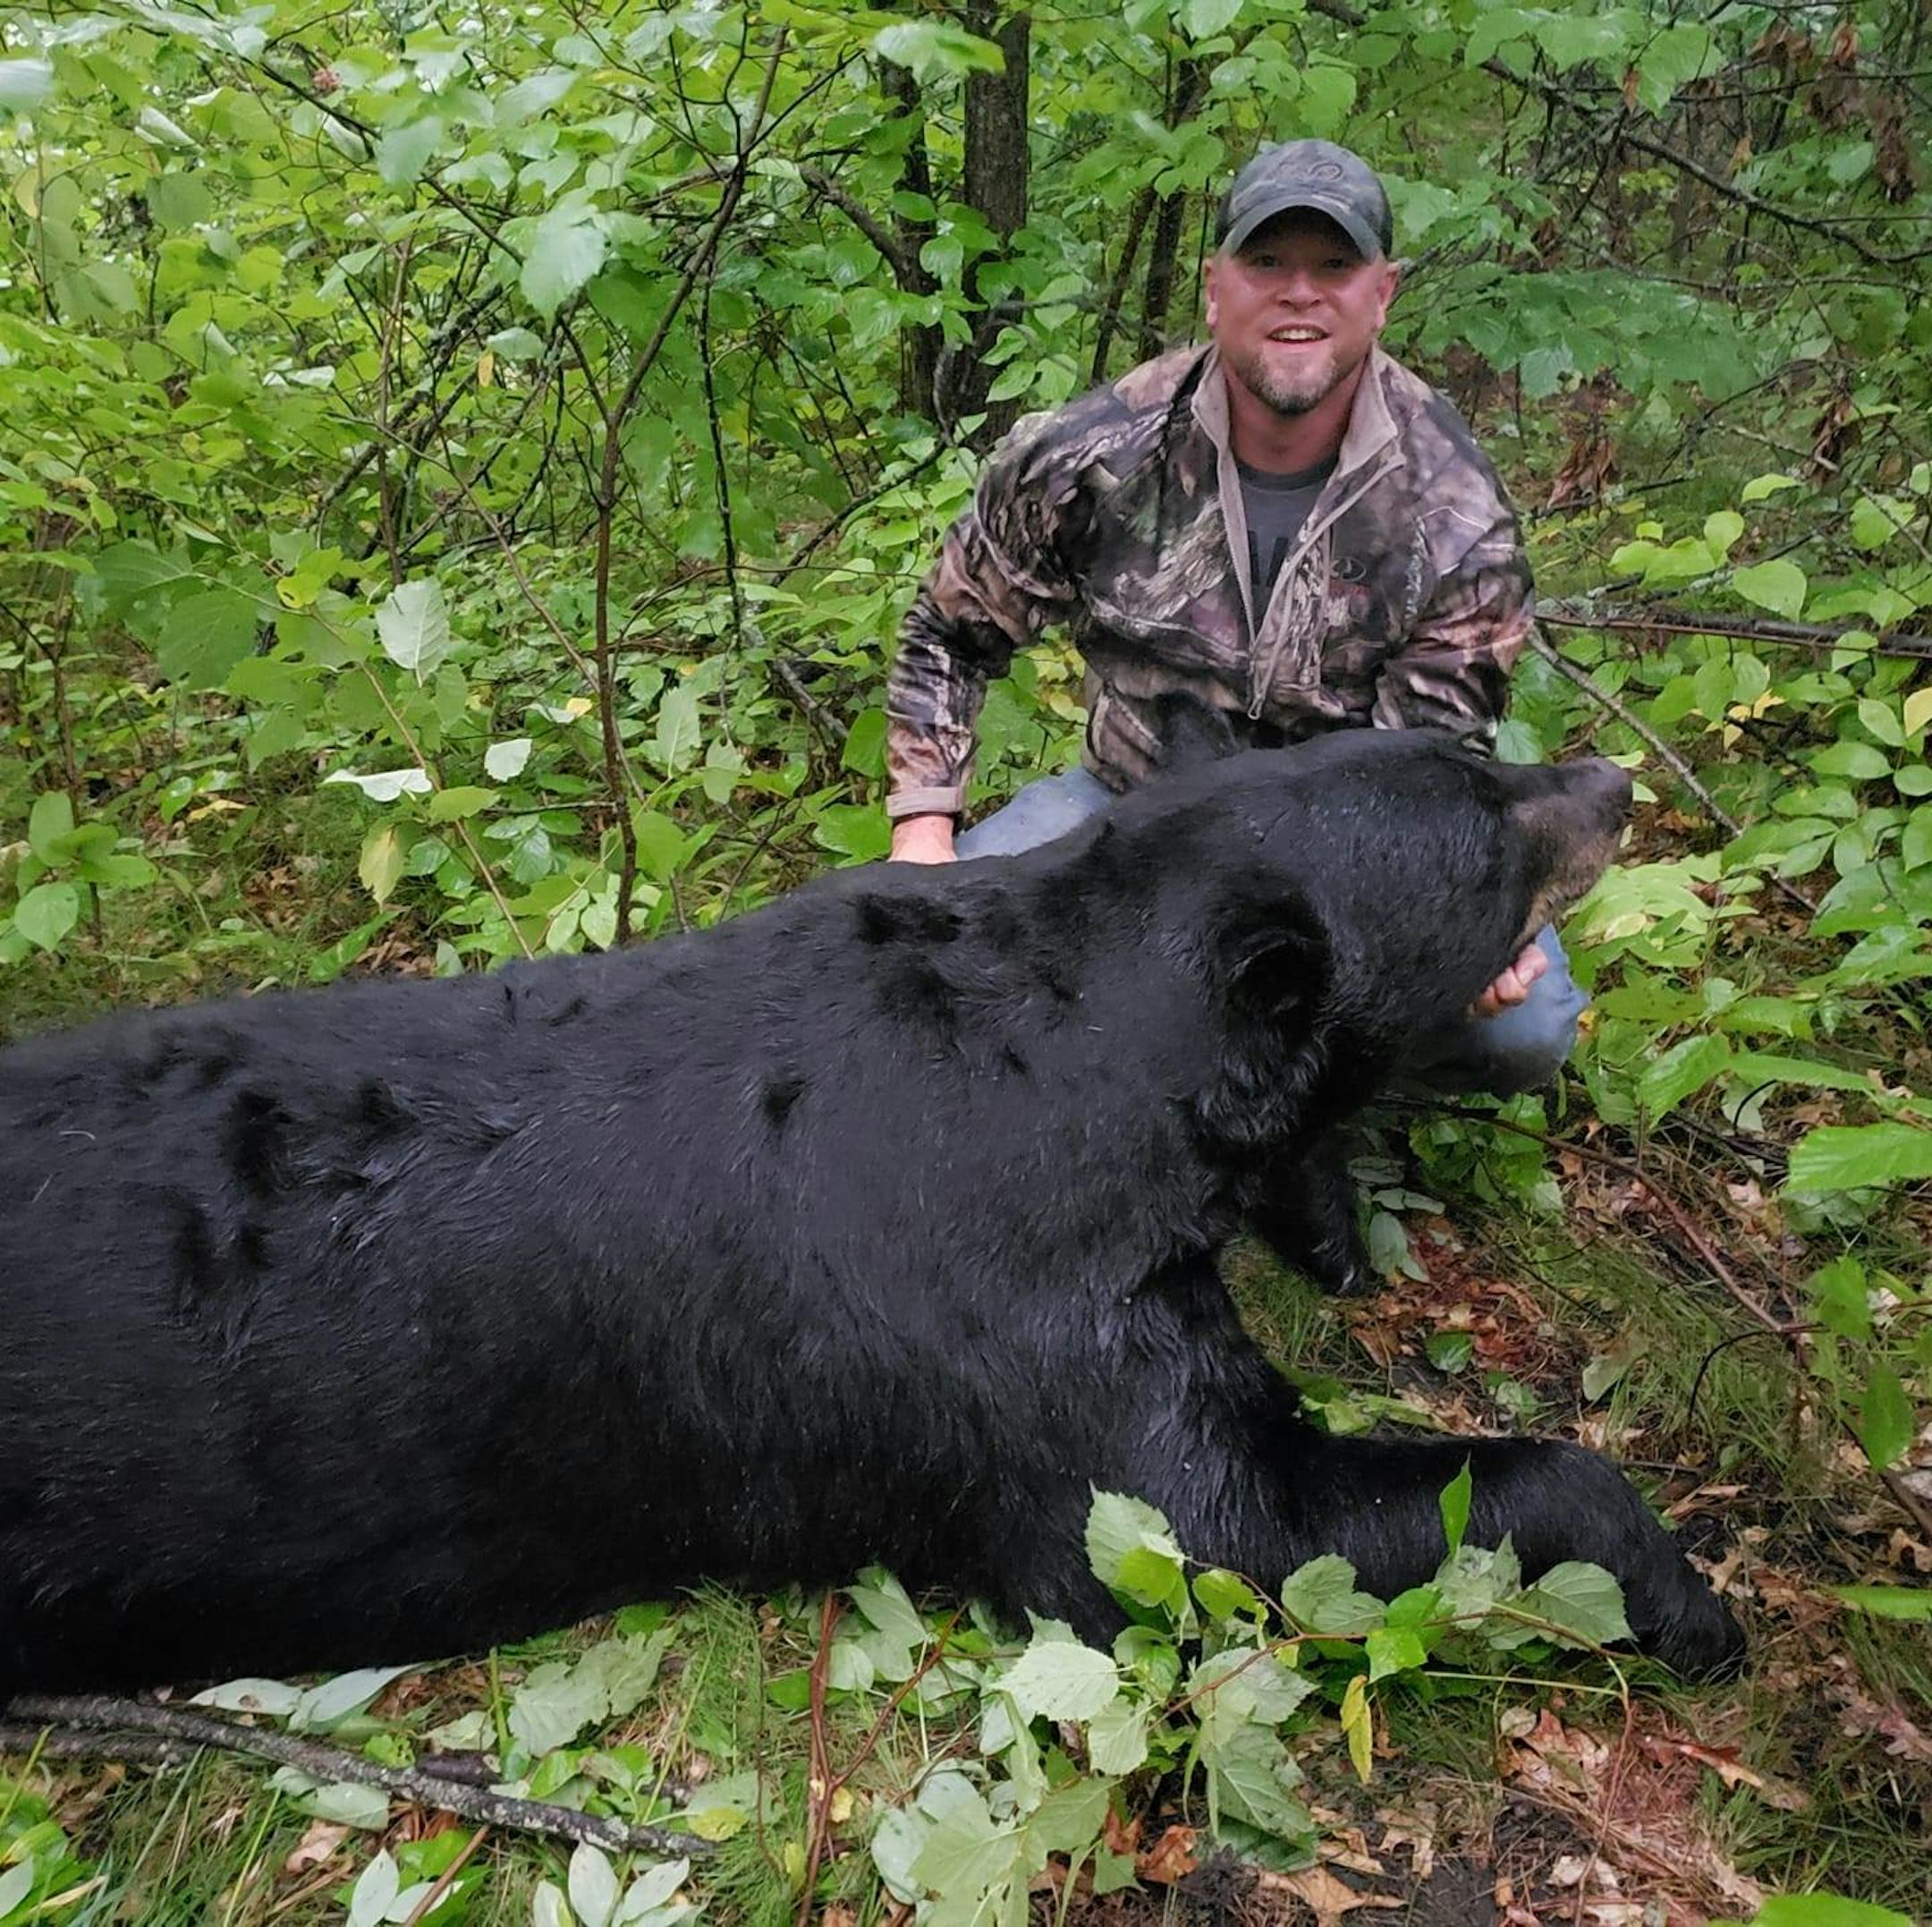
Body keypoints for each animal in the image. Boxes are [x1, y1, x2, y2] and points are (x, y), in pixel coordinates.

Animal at [0, 727, 1742, 1698]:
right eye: (1484, 829)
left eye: (1479, 752)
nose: (1614, 779)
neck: (1089, 1050)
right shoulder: (1024, 1319)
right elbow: (1217, 1529)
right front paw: (1689, 1596)